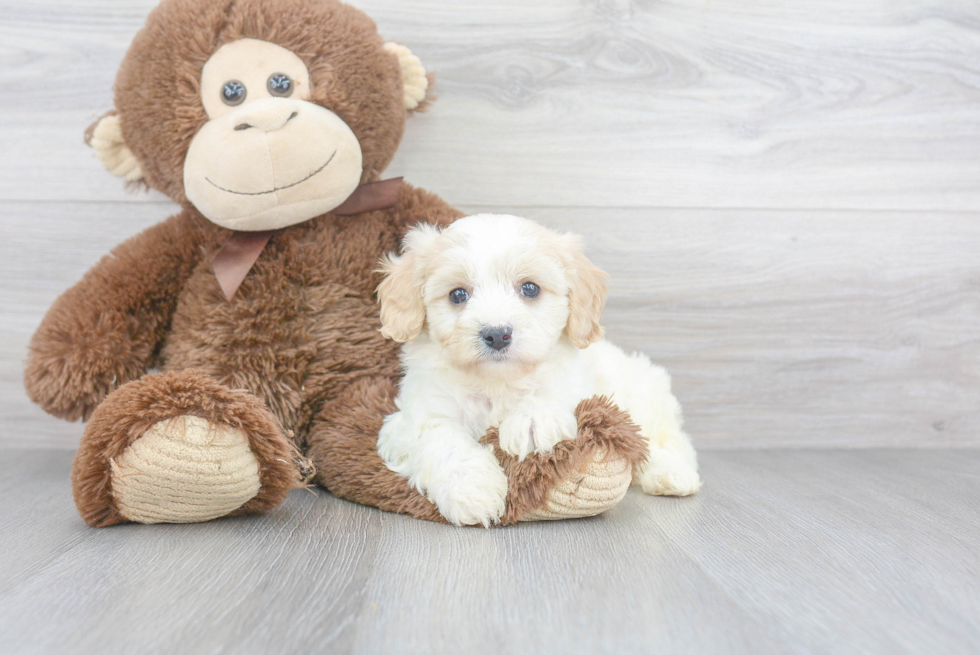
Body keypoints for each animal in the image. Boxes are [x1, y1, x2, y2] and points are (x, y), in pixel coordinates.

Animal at [372, 215, 700, 528]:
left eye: (530, 289)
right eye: (457, 295)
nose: (497, 334)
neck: (496, 383)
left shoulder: (577, 385)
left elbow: (548, 393)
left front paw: (533, 420)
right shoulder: (413, 418)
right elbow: (442, 439)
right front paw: (473, 491)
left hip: (643, 395)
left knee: (668, 440)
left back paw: (672, 475)